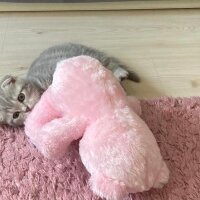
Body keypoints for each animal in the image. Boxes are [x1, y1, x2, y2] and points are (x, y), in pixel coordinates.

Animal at [0, 43, 139, 126]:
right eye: (16, 115)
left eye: (21, 97)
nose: (27, 109)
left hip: (91, 56)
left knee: (109, 63)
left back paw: (119, 72)